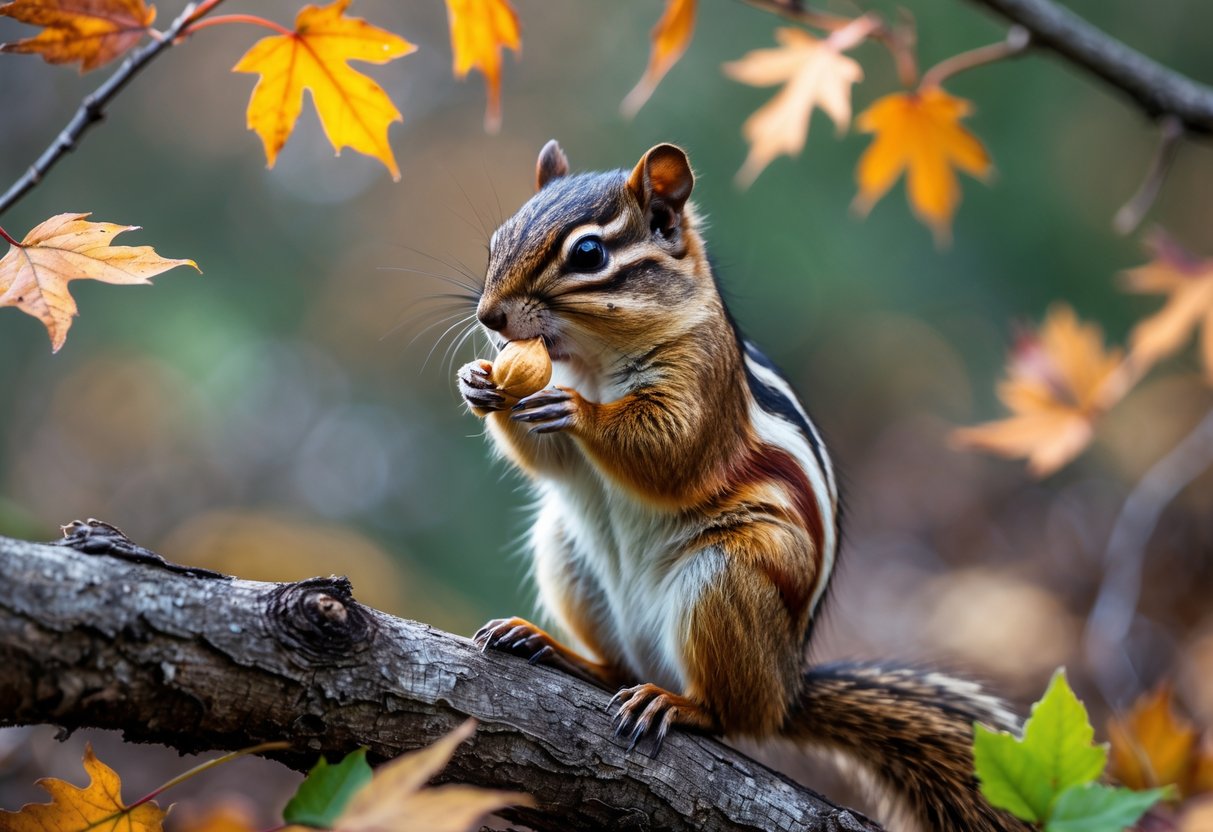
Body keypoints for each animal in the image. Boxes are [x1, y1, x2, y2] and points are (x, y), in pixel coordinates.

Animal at [455, 140, 1032, 832]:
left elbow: (670, 449)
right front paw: (478, 382)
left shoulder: (703, 382)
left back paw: (676, 704)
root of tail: (785, 690)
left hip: (725, 578)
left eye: (589, 254)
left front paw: (577, 411)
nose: (489, 317)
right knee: (615, 666)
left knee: (727, 715)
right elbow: (550, 464)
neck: (590, 362)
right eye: (497, 238)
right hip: (567, 554)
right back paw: (548, 646)